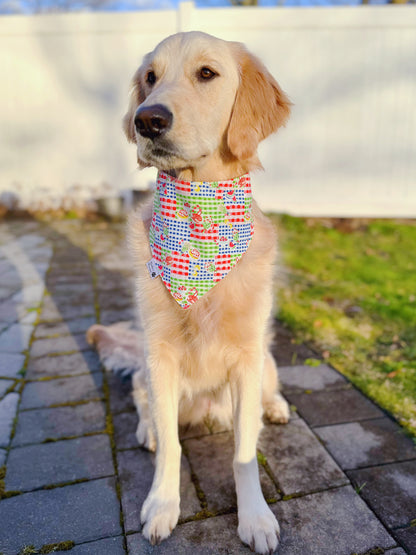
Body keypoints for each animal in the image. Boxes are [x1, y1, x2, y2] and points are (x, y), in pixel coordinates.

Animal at [88, 31, 290, 555]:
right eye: (150, 78)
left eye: (206, 73)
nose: (148, 119)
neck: (198, 220)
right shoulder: (160, 355)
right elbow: (172, 445)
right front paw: (162, 505)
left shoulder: (248, 356)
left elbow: (244, 451)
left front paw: (255, 517)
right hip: (144, 359)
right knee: (141, 399)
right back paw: (146, 431)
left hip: (267, 357)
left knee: (269, 392)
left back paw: (275, 407)